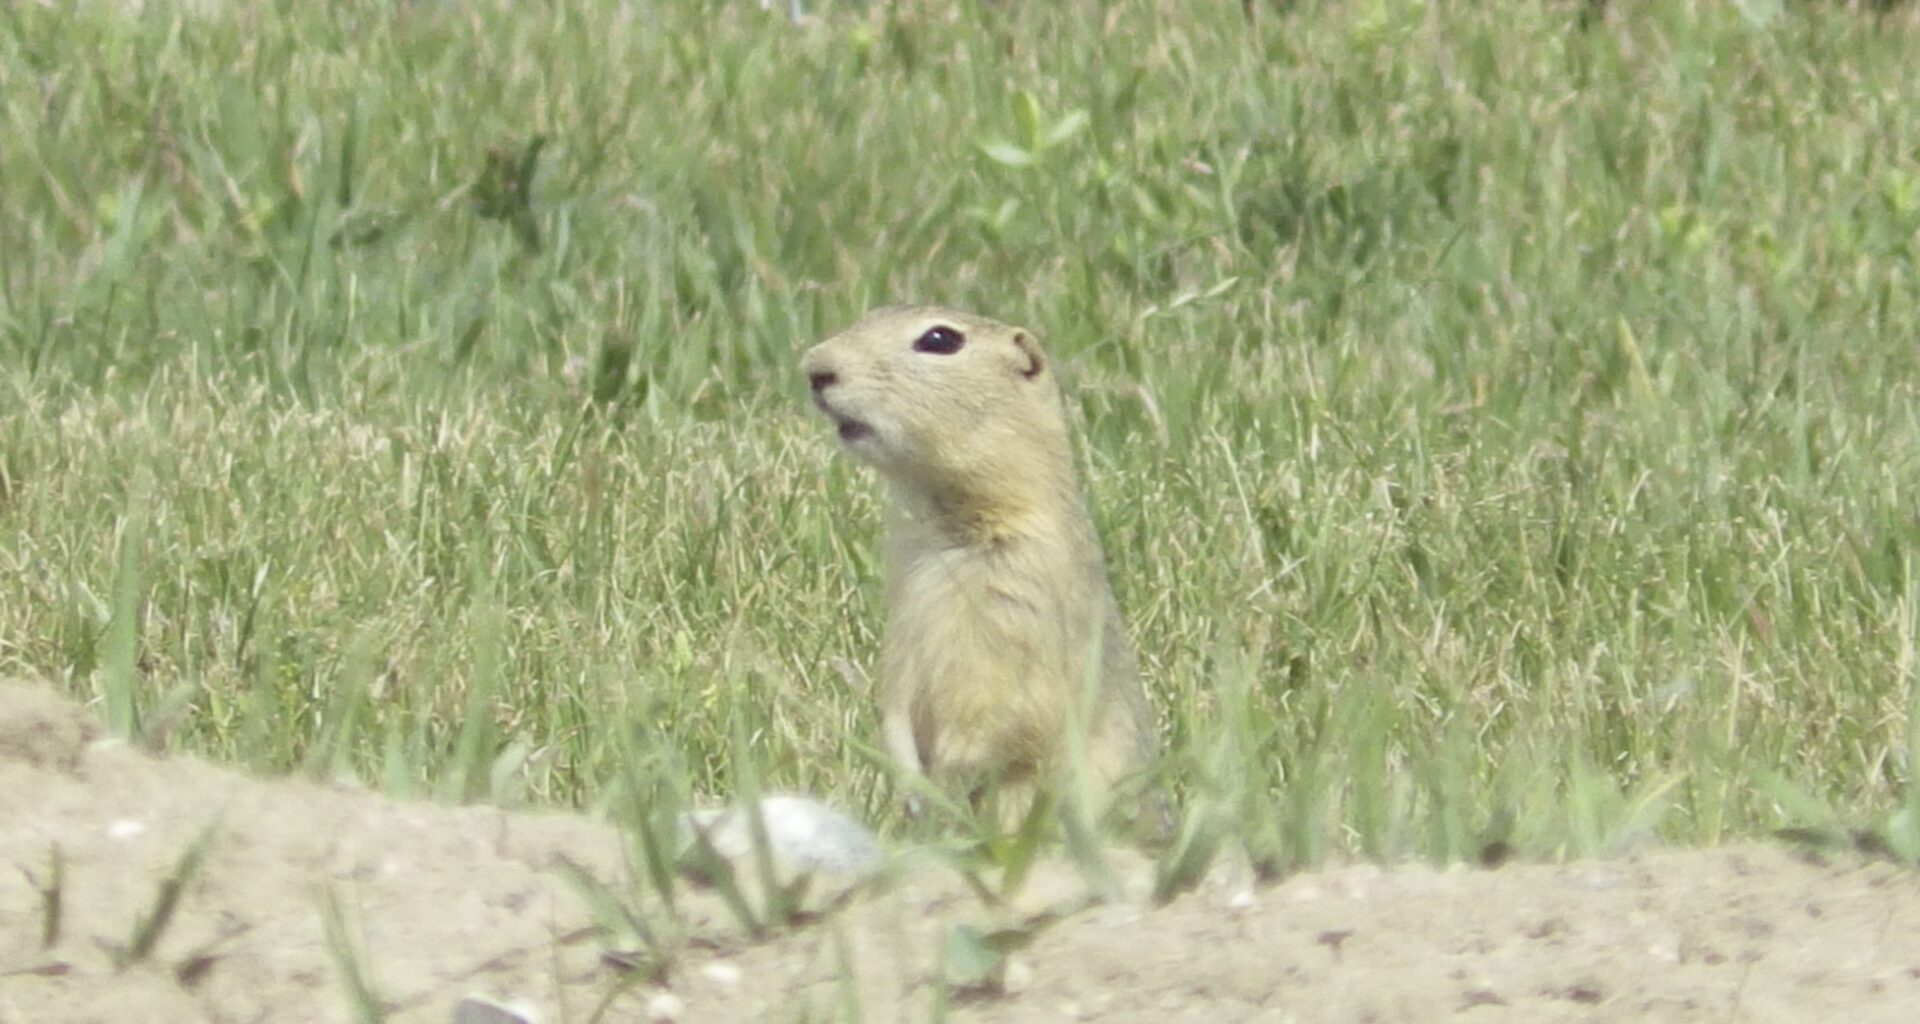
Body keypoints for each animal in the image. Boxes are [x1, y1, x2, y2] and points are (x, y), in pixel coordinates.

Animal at [801, 305, 1159, 833]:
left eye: (939, 339)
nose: (815, 368)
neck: (946, 531)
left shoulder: (1021, 602)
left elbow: (1003, 718)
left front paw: (940, 793)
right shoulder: (906, 613)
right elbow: (896, 700)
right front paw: (910, 788)